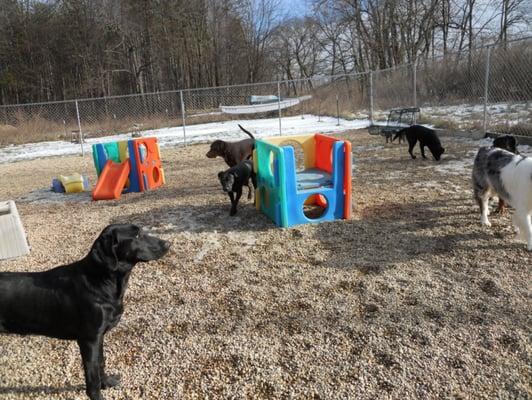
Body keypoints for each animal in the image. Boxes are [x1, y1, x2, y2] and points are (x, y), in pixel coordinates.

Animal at [0, 223, 170, 398]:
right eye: (136, 236)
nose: (167, 244)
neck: (101, 281)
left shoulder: (99, 337)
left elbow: (101, 362)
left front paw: (106, 382)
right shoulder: (89, 339)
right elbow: (92, 375)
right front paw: (97, 395)